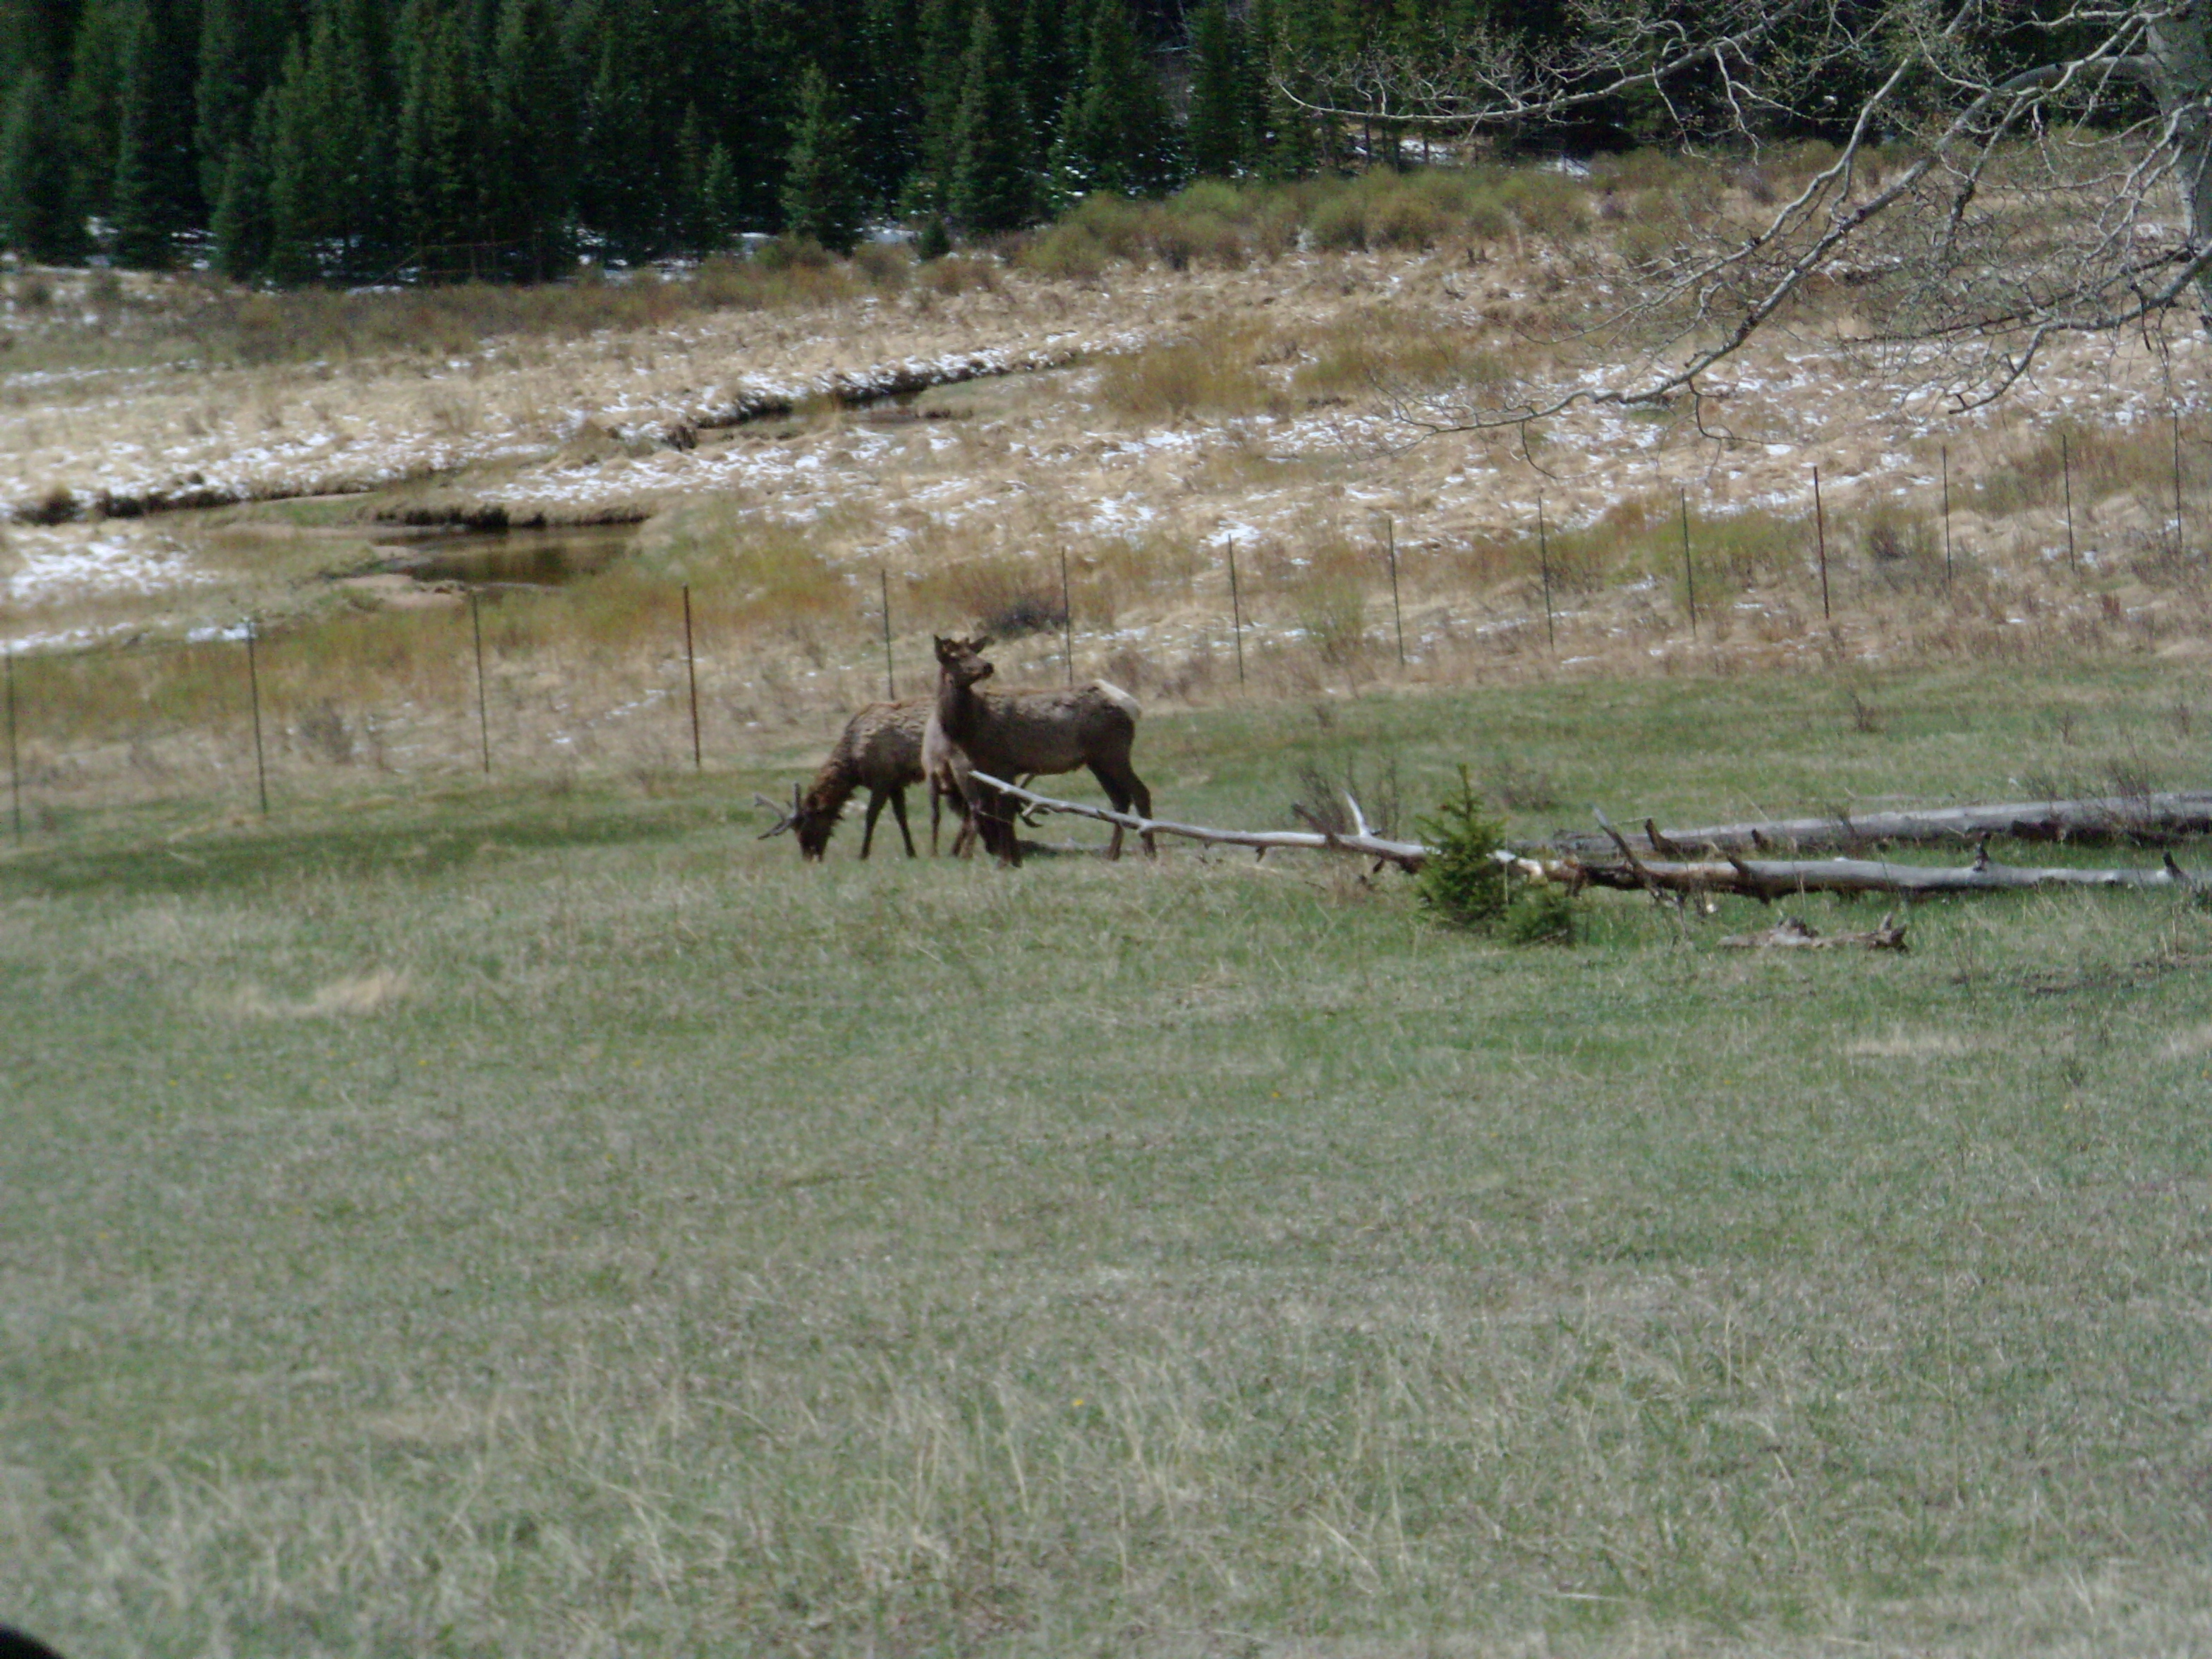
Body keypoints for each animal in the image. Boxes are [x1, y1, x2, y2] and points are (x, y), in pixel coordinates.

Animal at [925, 634, 1155, 866]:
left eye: (974, 652)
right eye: (954, 657)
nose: (987, 666)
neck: (968, 729)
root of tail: (1132, 705)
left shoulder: (1004, 764)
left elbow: (1004, 814)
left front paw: (1006, 862)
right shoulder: (984, 769)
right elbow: (996, 811)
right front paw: (1014, 860)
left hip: (1113, 752)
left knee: (1140, 792)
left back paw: (1150, 852)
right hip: (1097, 760)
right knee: (1120, 800)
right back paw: (1111, 854)